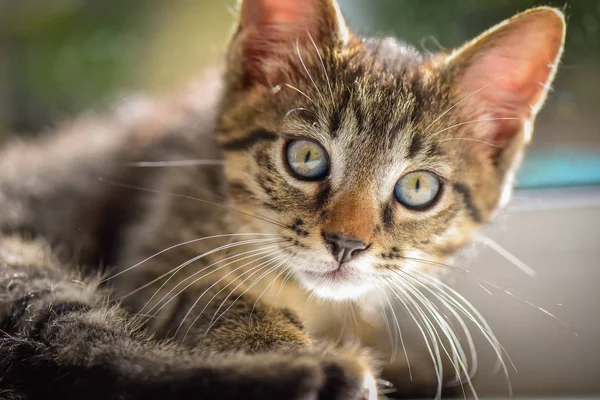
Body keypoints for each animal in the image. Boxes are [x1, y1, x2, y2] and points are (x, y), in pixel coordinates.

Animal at [0, 0, 564, 400]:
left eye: (418, 189)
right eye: (306, 157)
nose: (346, 244)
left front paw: (406, 363)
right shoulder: (154, 257)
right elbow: (219, 301)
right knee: (90, 354)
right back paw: (317, 374)